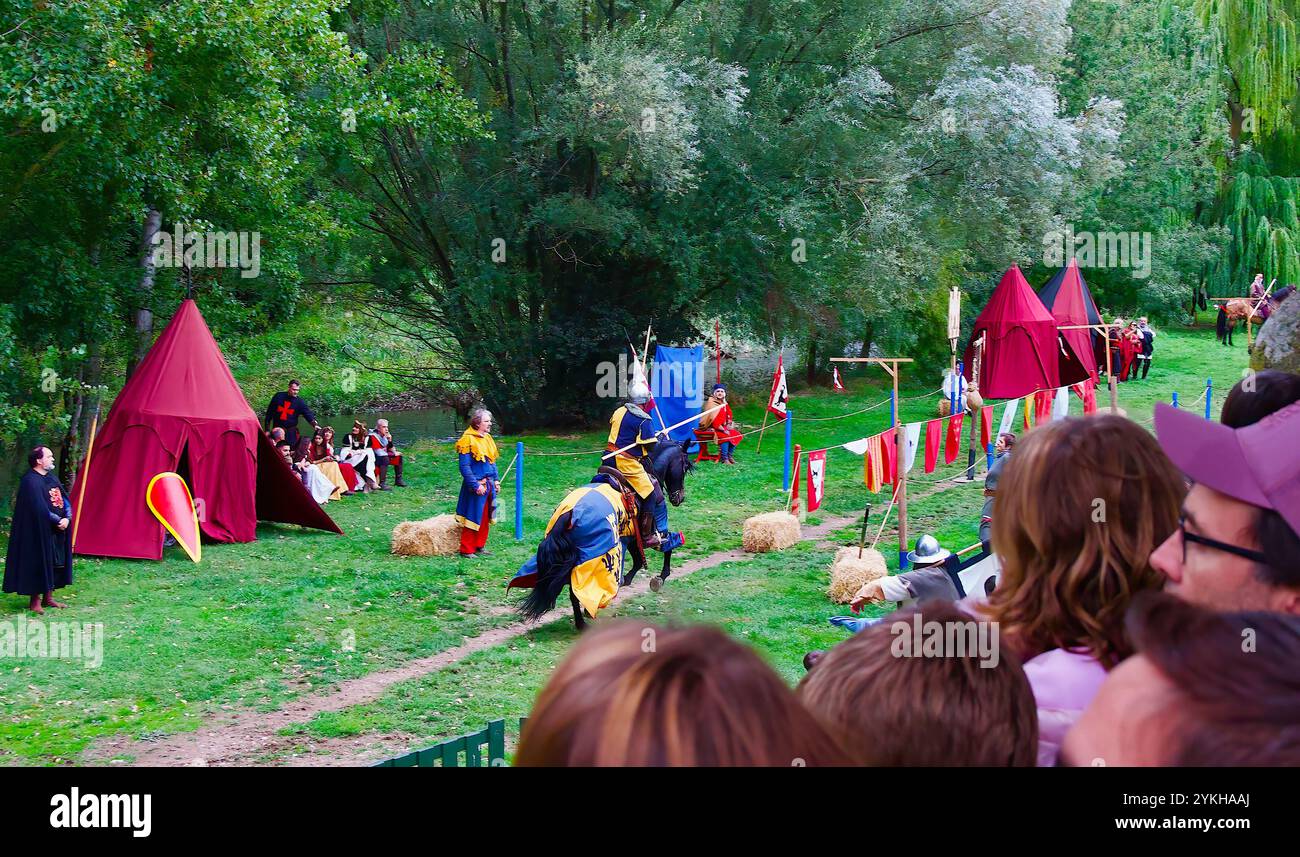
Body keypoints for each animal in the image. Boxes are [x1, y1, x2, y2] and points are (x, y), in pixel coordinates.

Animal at [514, 442, 691, 629]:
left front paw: (627, 579)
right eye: (685, 466)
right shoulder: (653, 530)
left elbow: (637, 561)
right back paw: (583, 622)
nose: (679, 497)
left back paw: (582, 619)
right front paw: (661, 577)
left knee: (571, 589)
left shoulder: (629, 537)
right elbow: (666, 546)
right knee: (576, 590)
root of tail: (569, 513)